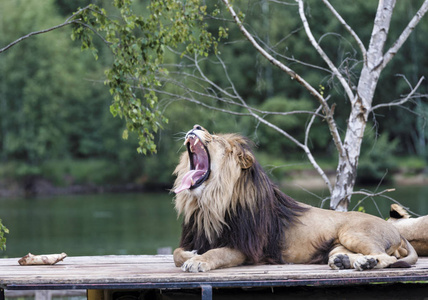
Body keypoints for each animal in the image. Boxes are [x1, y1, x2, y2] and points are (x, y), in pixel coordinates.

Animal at [171, 124, 418, 272]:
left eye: (215, 139)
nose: (196, 127)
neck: (208, 204)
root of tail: (397, 230)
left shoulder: (247, 248)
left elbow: (217, 252)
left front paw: (199, 260)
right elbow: (175, 253)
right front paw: (191, 254)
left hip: (353, 232)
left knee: (387, 258)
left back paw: (366, 263)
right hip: (336, 245)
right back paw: (346, 261)